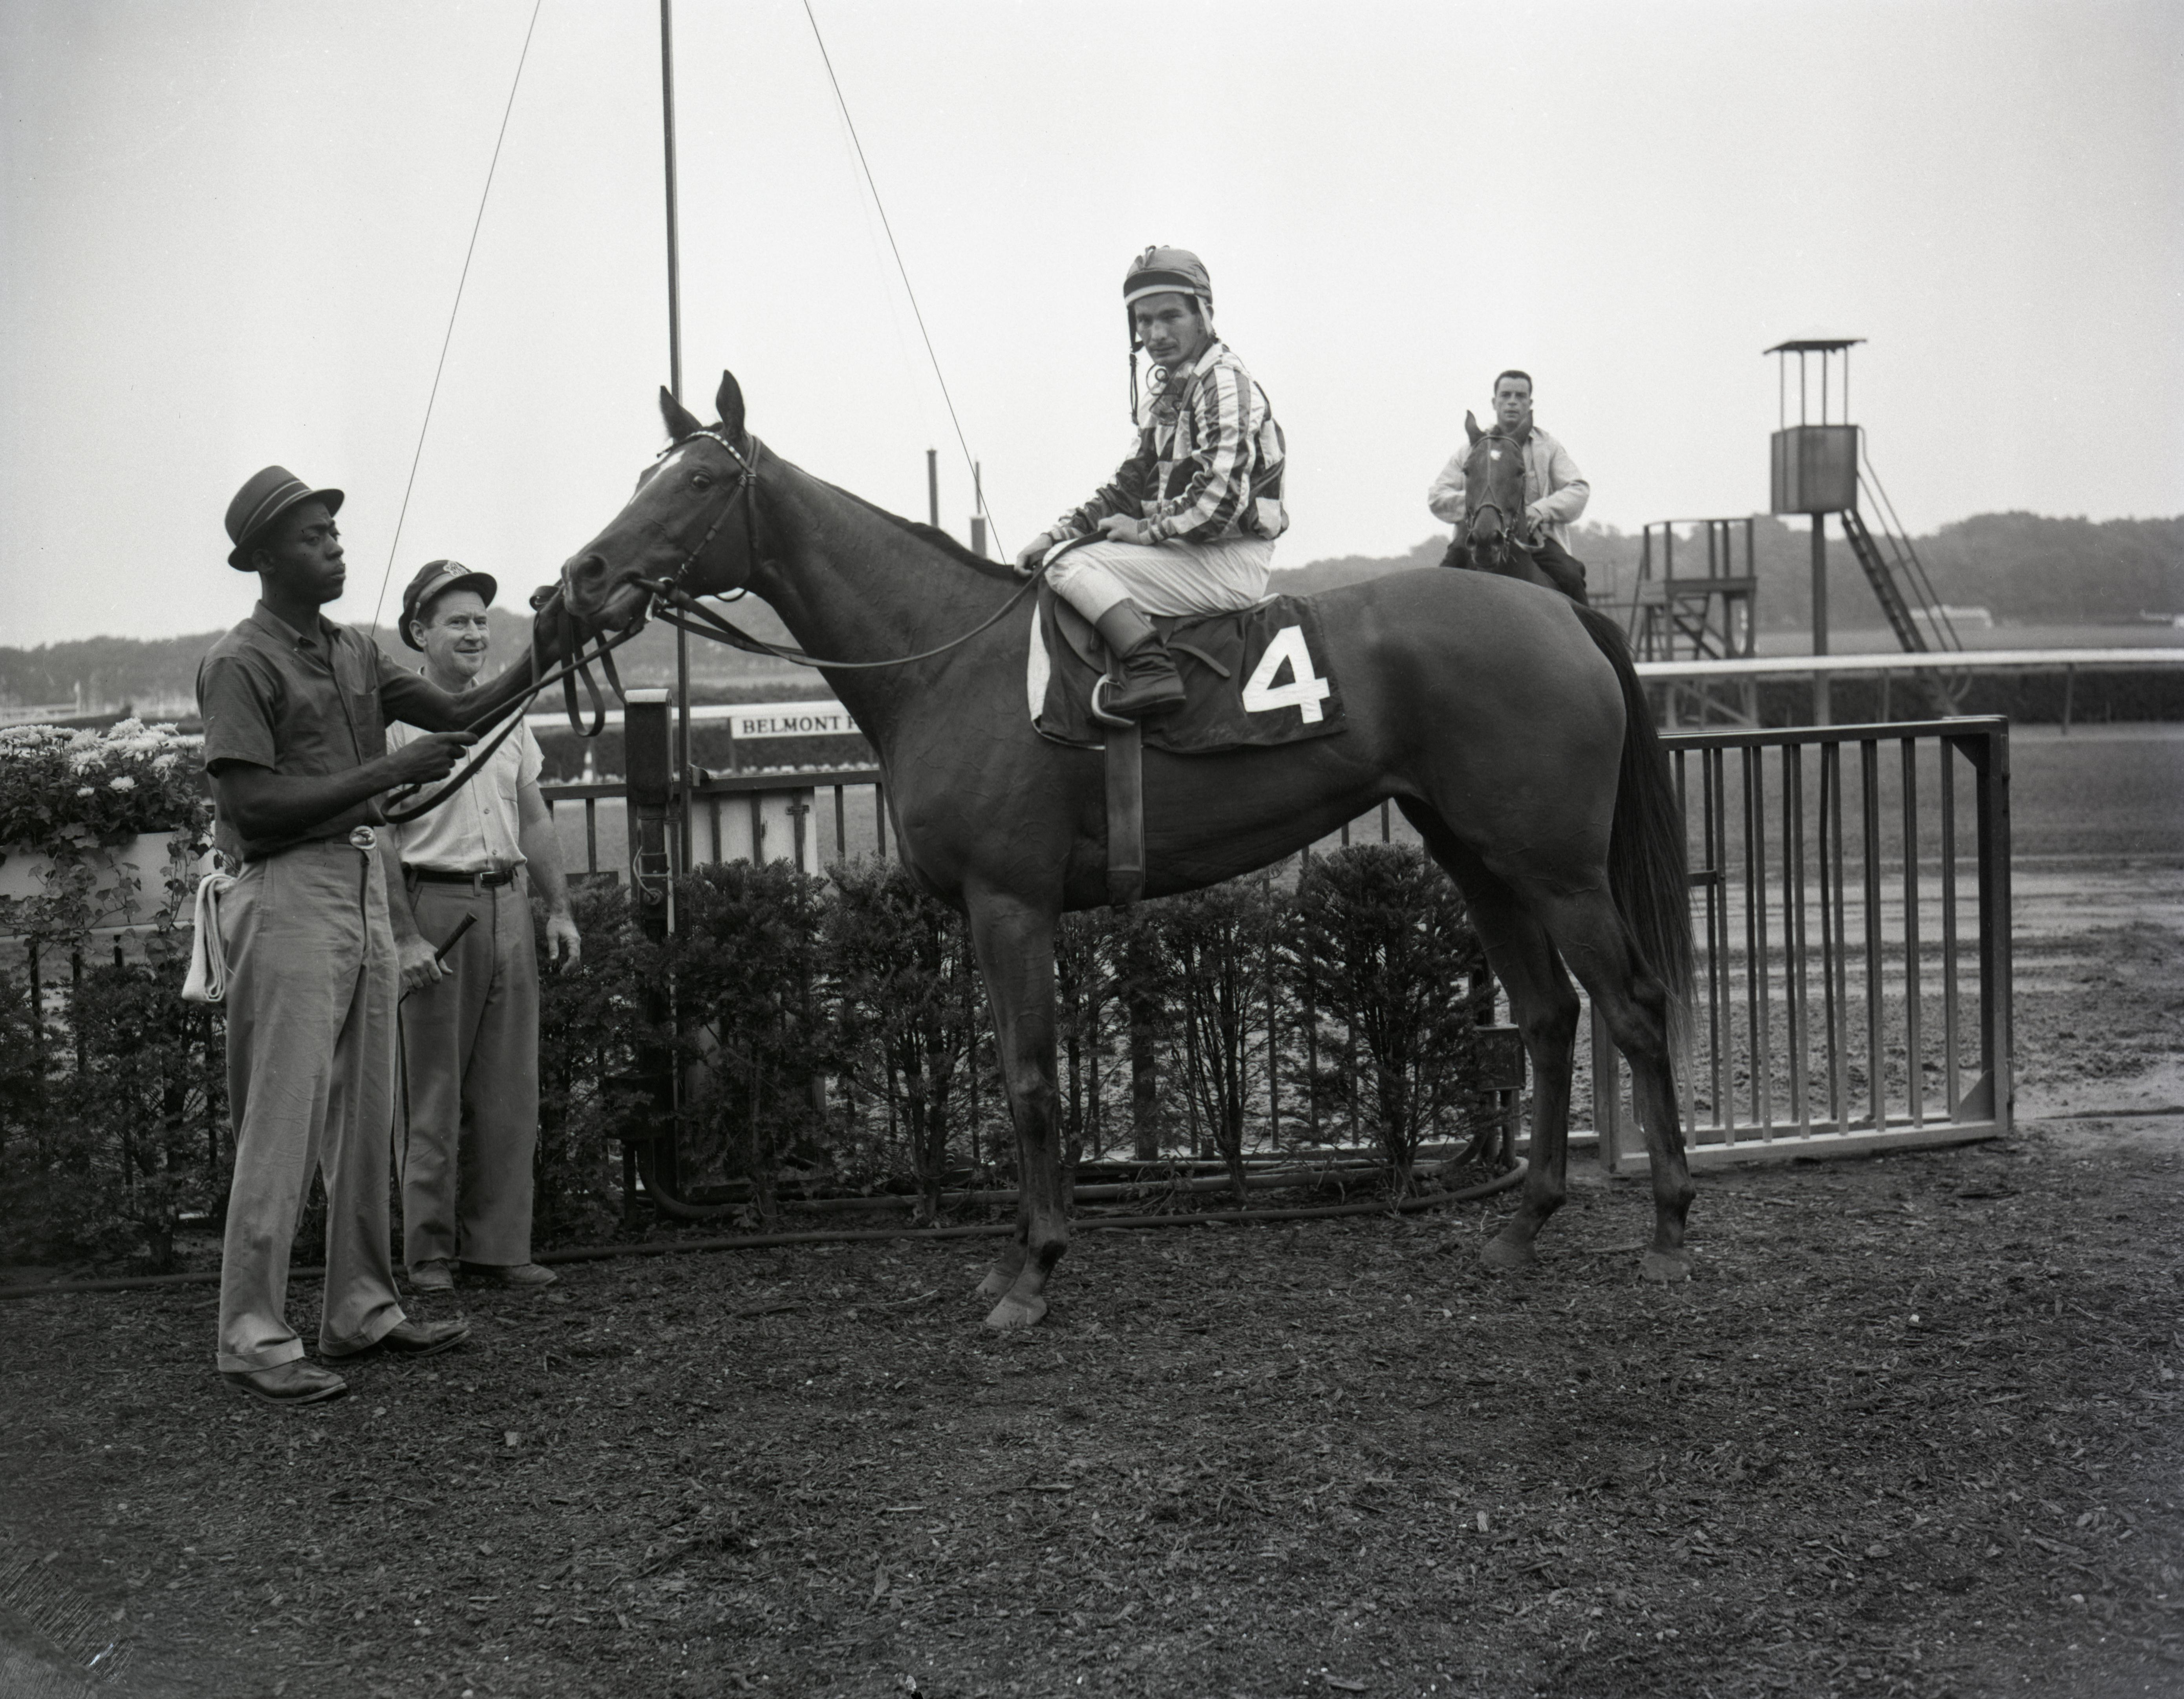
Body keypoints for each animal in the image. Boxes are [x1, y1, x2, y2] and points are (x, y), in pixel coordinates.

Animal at [554, 371, 1695, 1328]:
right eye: (645, 475)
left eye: (700, 479)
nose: (580, 573)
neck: (942, 659)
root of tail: (1560, 617)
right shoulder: (991, 912)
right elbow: (1019, 1072)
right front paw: (1014, 1258)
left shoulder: (1010, 901)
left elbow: (1026, 1082)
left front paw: (1035, 1270)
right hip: (1475, 853)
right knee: (1547, 1016)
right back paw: (1521, 1225)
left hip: (1556, 866)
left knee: (1632, 1009)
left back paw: (1670, 1225)